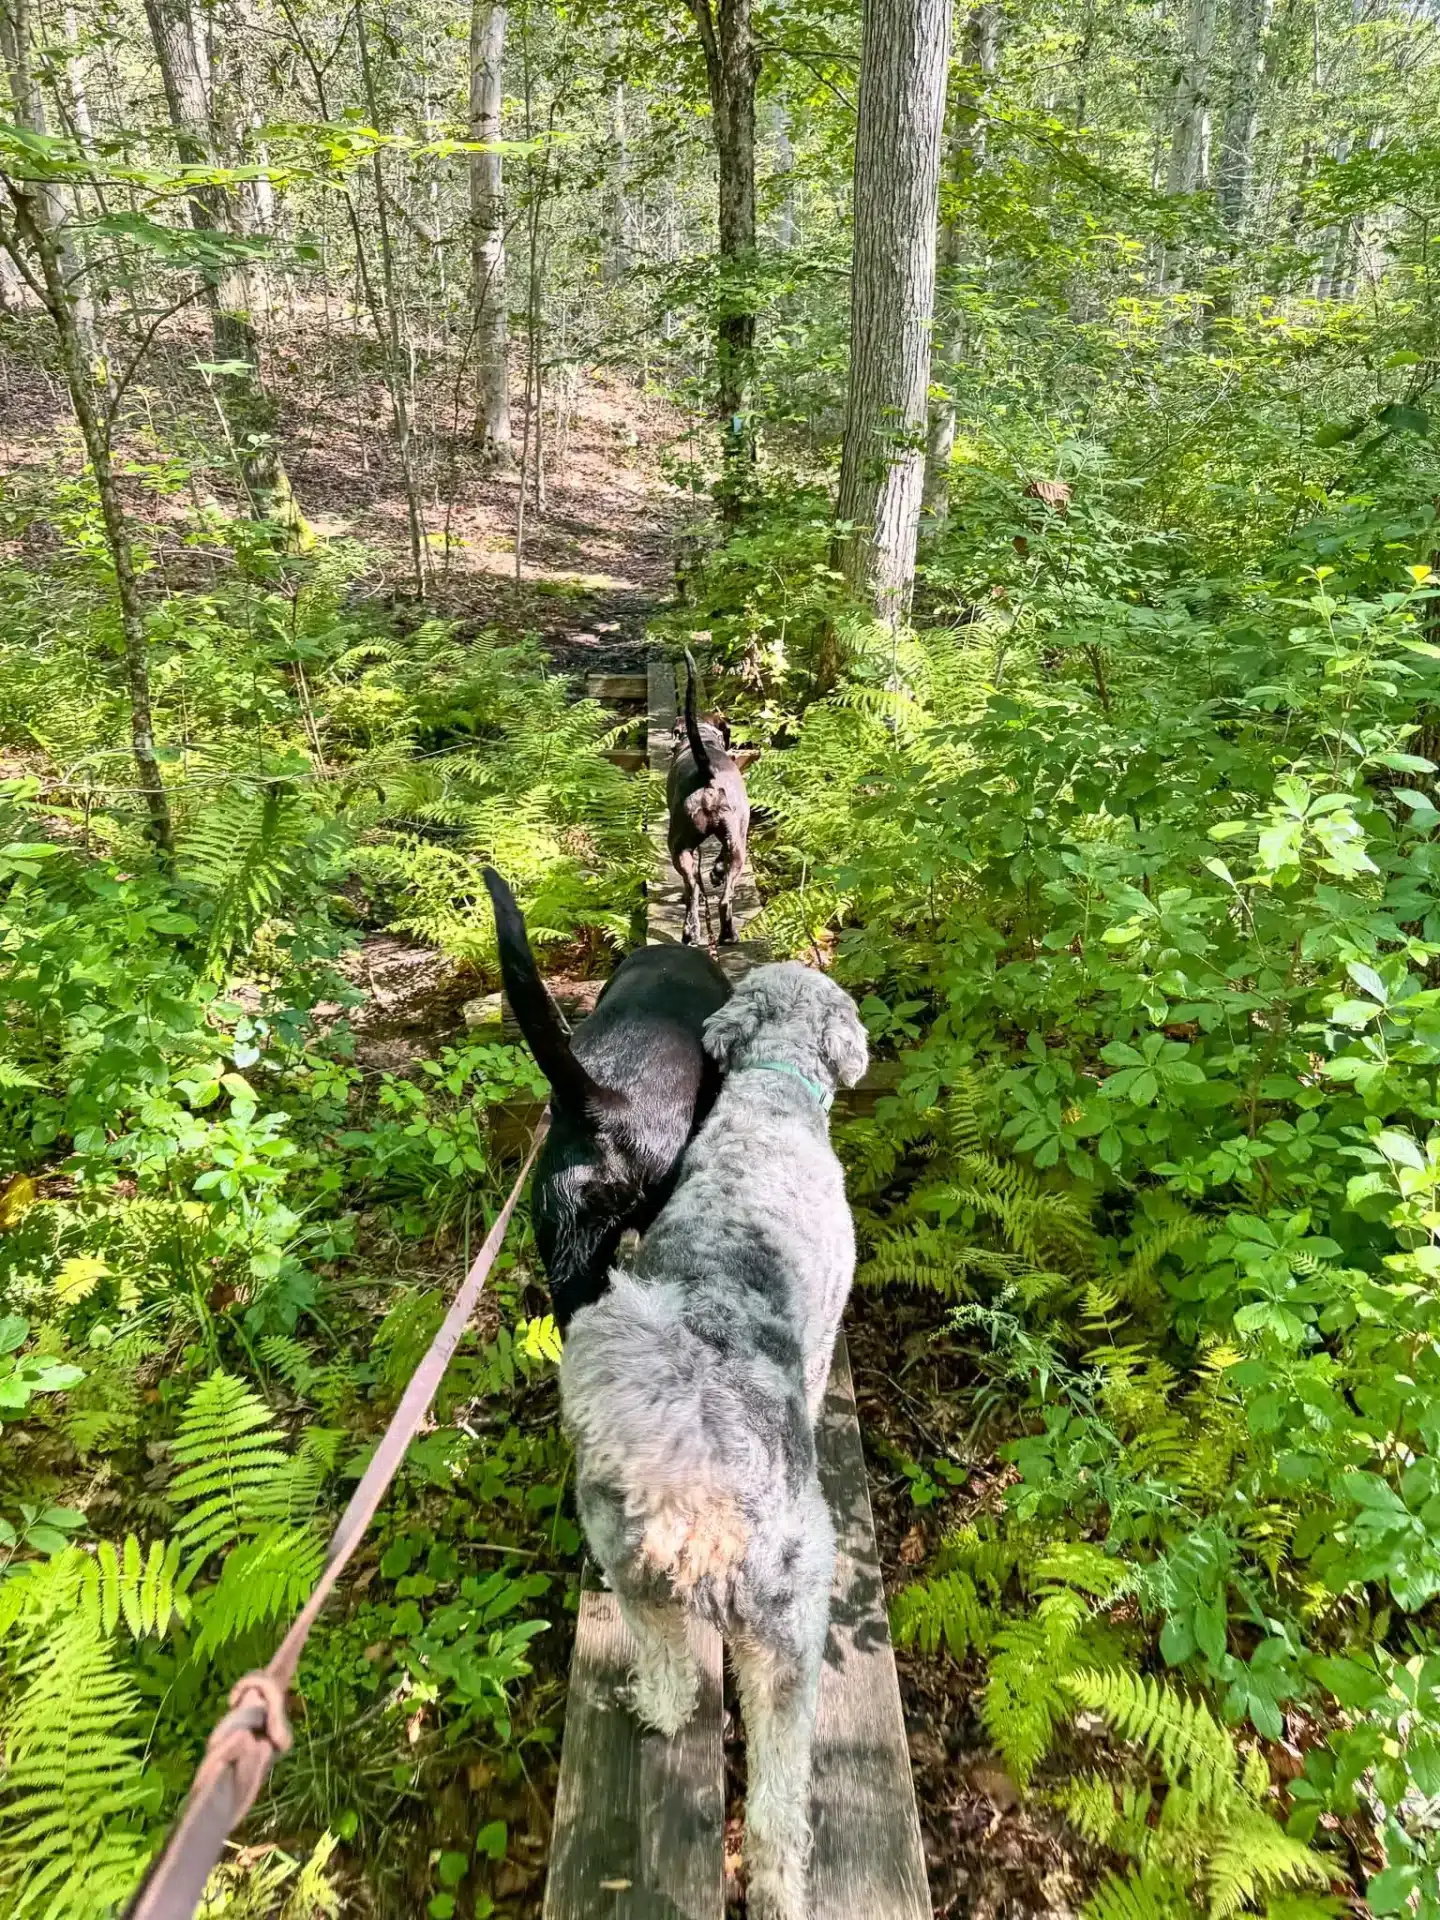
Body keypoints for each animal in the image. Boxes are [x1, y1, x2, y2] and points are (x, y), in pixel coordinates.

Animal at [560, 960, 867, 1920]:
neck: (771, 1097)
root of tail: (691, 1492)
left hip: (632, 1577)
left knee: (665, 1664)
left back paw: (657, 1708)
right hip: (789, 1637)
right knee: (774, 1805)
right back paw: (780, 1886)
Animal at [668, 645, 756, 944]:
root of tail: (707, 776)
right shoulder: (737, 832)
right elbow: (719, 860)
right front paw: (716, 872)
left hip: (680, 847)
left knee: (693, 890)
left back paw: (691, 931)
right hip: (738, 846)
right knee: (723, 899)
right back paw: (728, 933)